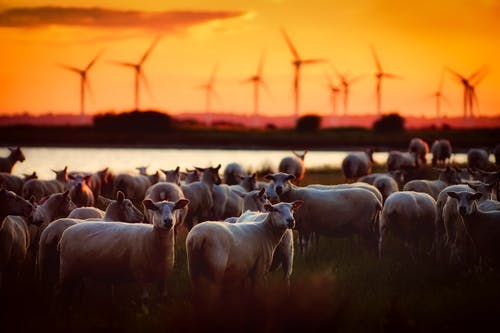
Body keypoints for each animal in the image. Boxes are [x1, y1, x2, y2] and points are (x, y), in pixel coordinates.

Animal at [58, 197, 189, 308]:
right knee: (62, 293)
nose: (168, 221)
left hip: (77, 271)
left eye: (174, 208)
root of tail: (66, 232)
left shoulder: (163, 276)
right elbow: (145, 299)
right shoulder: (140, 274)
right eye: (157, 209)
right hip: (66, 269)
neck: (151, 238)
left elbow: (163, 297)